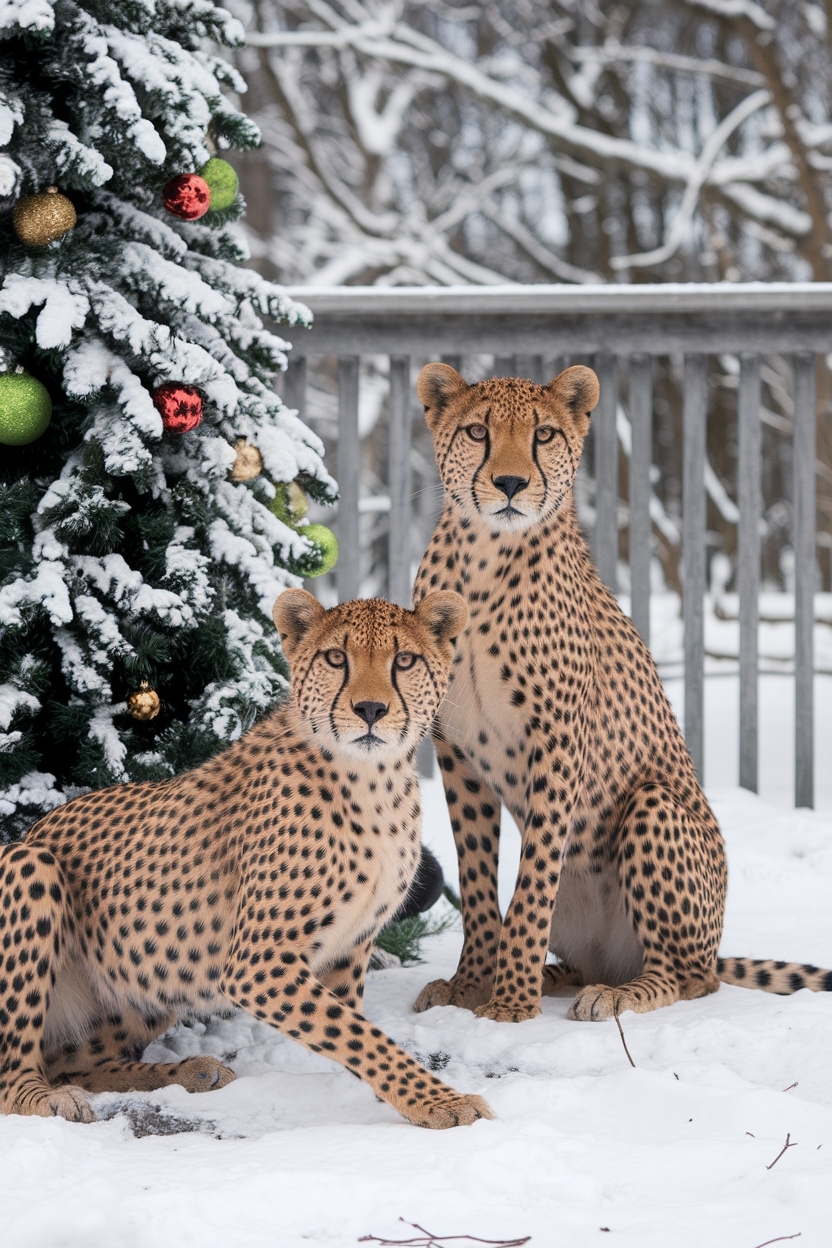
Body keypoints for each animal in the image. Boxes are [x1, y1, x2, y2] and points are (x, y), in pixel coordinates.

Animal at [0, 587, 494, 1130]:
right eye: (335, 658)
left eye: (404, 660)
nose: (370, 708)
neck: (373, 779)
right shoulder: (258, 963)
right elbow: (361, 1037)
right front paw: (439, 1102)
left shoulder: (348, 948)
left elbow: (355, 1033)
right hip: (31, 863)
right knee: (13, 1075)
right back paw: (46, 1098)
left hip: (149, 977)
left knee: (73, 1062)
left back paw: (189, 1071)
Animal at [410, 362, 832, 1026]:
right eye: (478, 432)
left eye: (544, 435)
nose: (510, 482)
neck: (482, 559)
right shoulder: (456, 752)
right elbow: (477, 879)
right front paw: (470, 984)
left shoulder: (557, 745)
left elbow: (533, 880)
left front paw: (510, 1002)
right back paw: (557, 975)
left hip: (653, 806)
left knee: (687, 980)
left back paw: (619, 993)